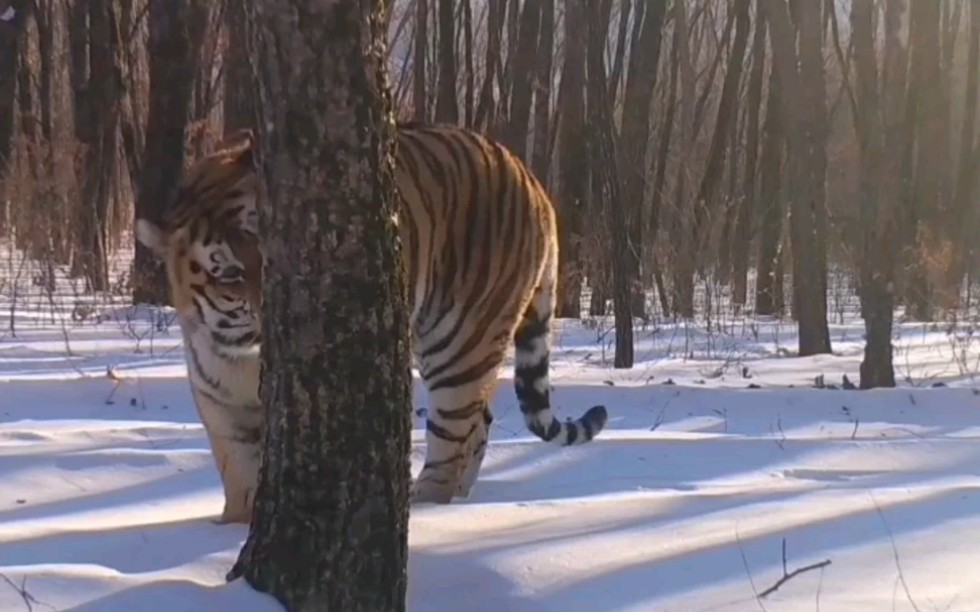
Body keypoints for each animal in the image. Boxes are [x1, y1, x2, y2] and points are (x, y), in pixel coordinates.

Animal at [134, 123, 608, 520]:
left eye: (272, 251)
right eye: (229, 274)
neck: (243, 354)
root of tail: (532, 180)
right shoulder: (221, 402)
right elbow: (239, 474)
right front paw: (233, 526)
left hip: (460, 344)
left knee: (455, 433)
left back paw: (429, 506)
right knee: (480, 424)